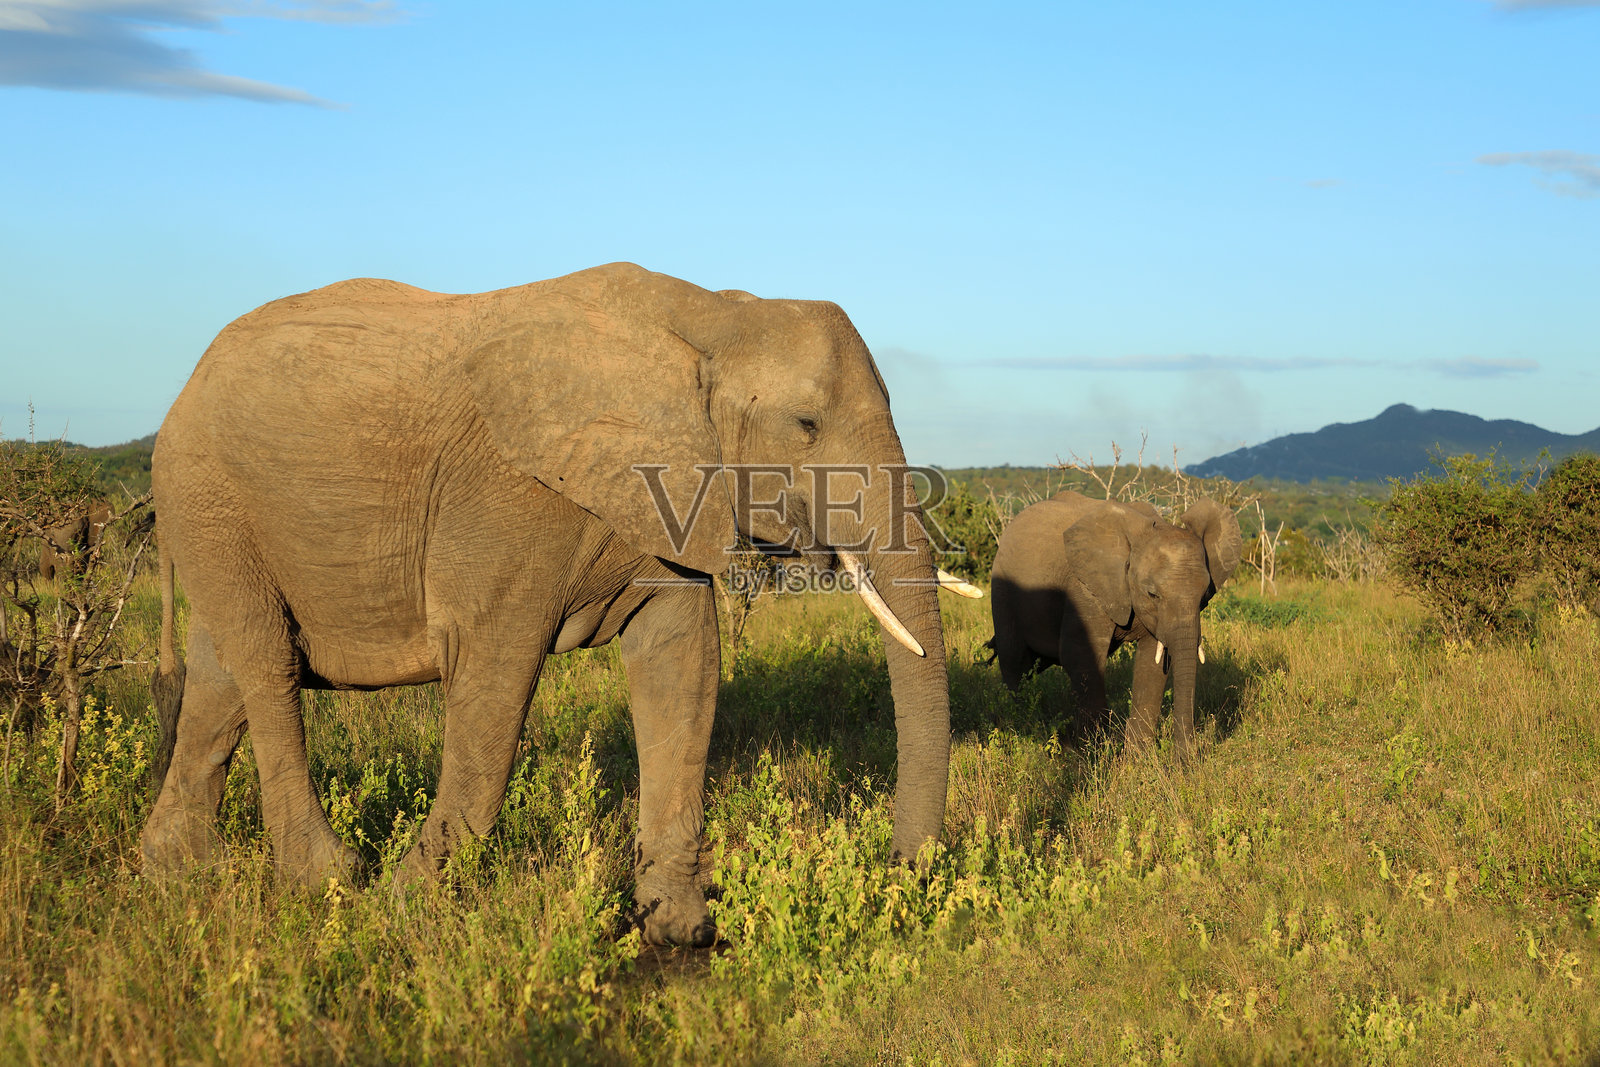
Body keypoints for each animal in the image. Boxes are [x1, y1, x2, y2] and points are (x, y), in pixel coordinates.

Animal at [141, 262, 977, 946]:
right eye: (806, 425)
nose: (898, 868)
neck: (711, 316)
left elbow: (682, 666)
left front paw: (677, 931)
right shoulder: (509, 500)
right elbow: (492, 687)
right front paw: (405, 909)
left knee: (218, 683)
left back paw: (177, 871)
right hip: (209, 496)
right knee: (267, 665)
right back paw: (329, 879)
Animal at [988, 491, 1241, 757]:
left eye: (1204, 596)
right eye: (1152, 594)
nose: (1186, 760)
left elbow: (1153, 663)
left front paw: (1137, 758)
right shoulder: (1085, 587)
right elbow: (1080, 656)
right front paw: (1092, 755)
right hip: (1003, 588)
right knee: (1014, 661)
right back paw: (1020, 731)